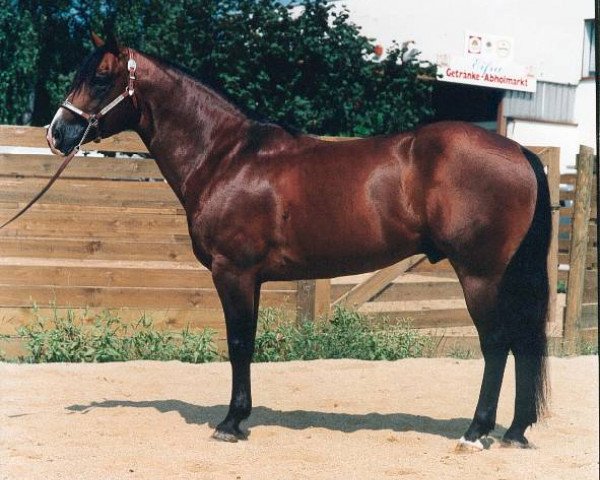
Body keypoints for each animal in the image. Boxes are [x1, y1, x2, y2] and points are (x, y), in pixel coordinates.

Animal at [47, 34, 552, 450]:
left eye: (100, 78)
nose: (57, 133)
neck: (226, 157)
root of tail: (519, 151)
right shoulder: (249, 277)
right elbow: (247, 341)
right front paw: (239, 418)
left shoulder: (233, 271)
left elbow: (238, 343)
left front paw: (230, 423)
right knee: (522, 343)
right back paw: (514, 432)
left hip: (479, 273)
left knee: (497, 344)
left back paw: (476, 432)